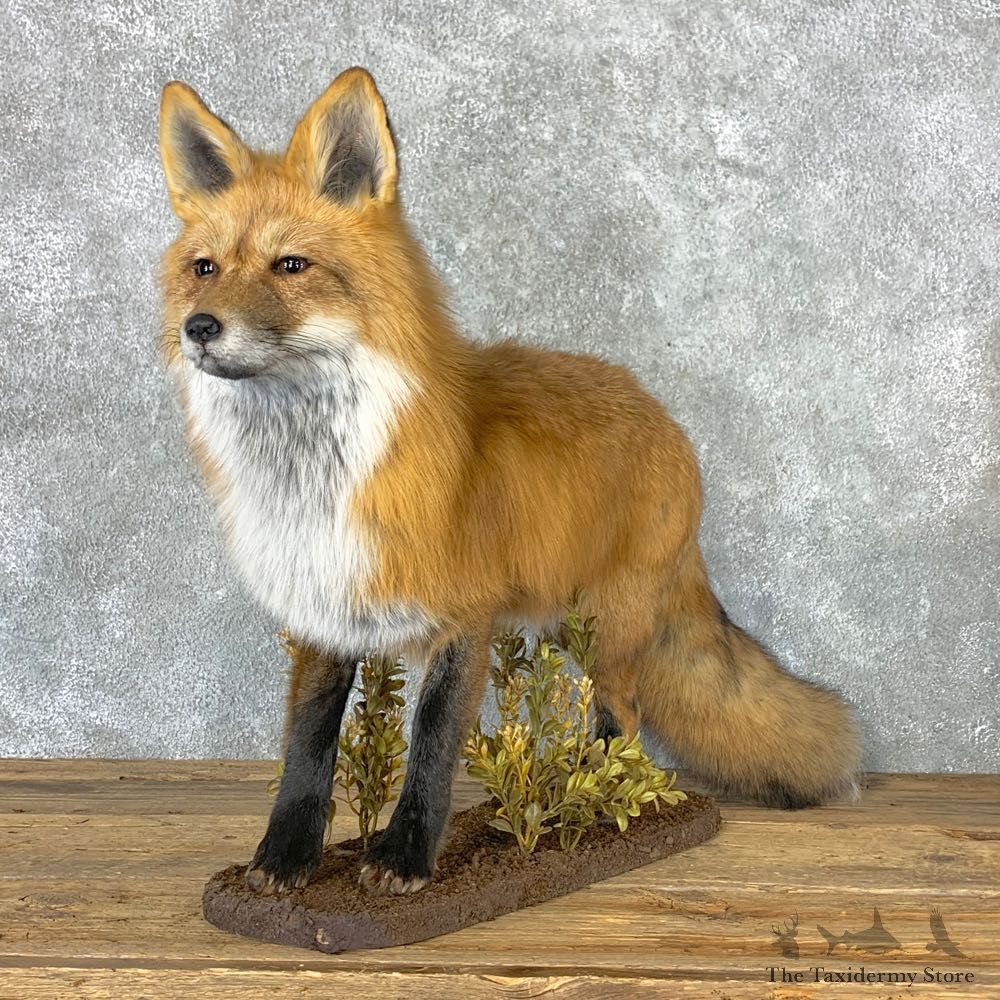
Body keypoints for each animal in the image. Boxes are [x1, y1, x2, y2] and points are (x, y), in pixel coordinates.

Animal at [157, 68, 861, 896]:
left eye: (290, 266)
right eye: (205, 269)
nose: (200, 328)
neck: (314, 481)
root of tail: (661, 411)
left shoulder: (465, 617)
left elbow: (431, 746)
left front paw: (404, 857)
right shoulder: (324, 606)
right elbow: (307, 740)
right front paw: (284, 856)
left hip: (610, 630)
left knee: (622, 718)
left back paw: (591, 806)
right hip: (566, 620)